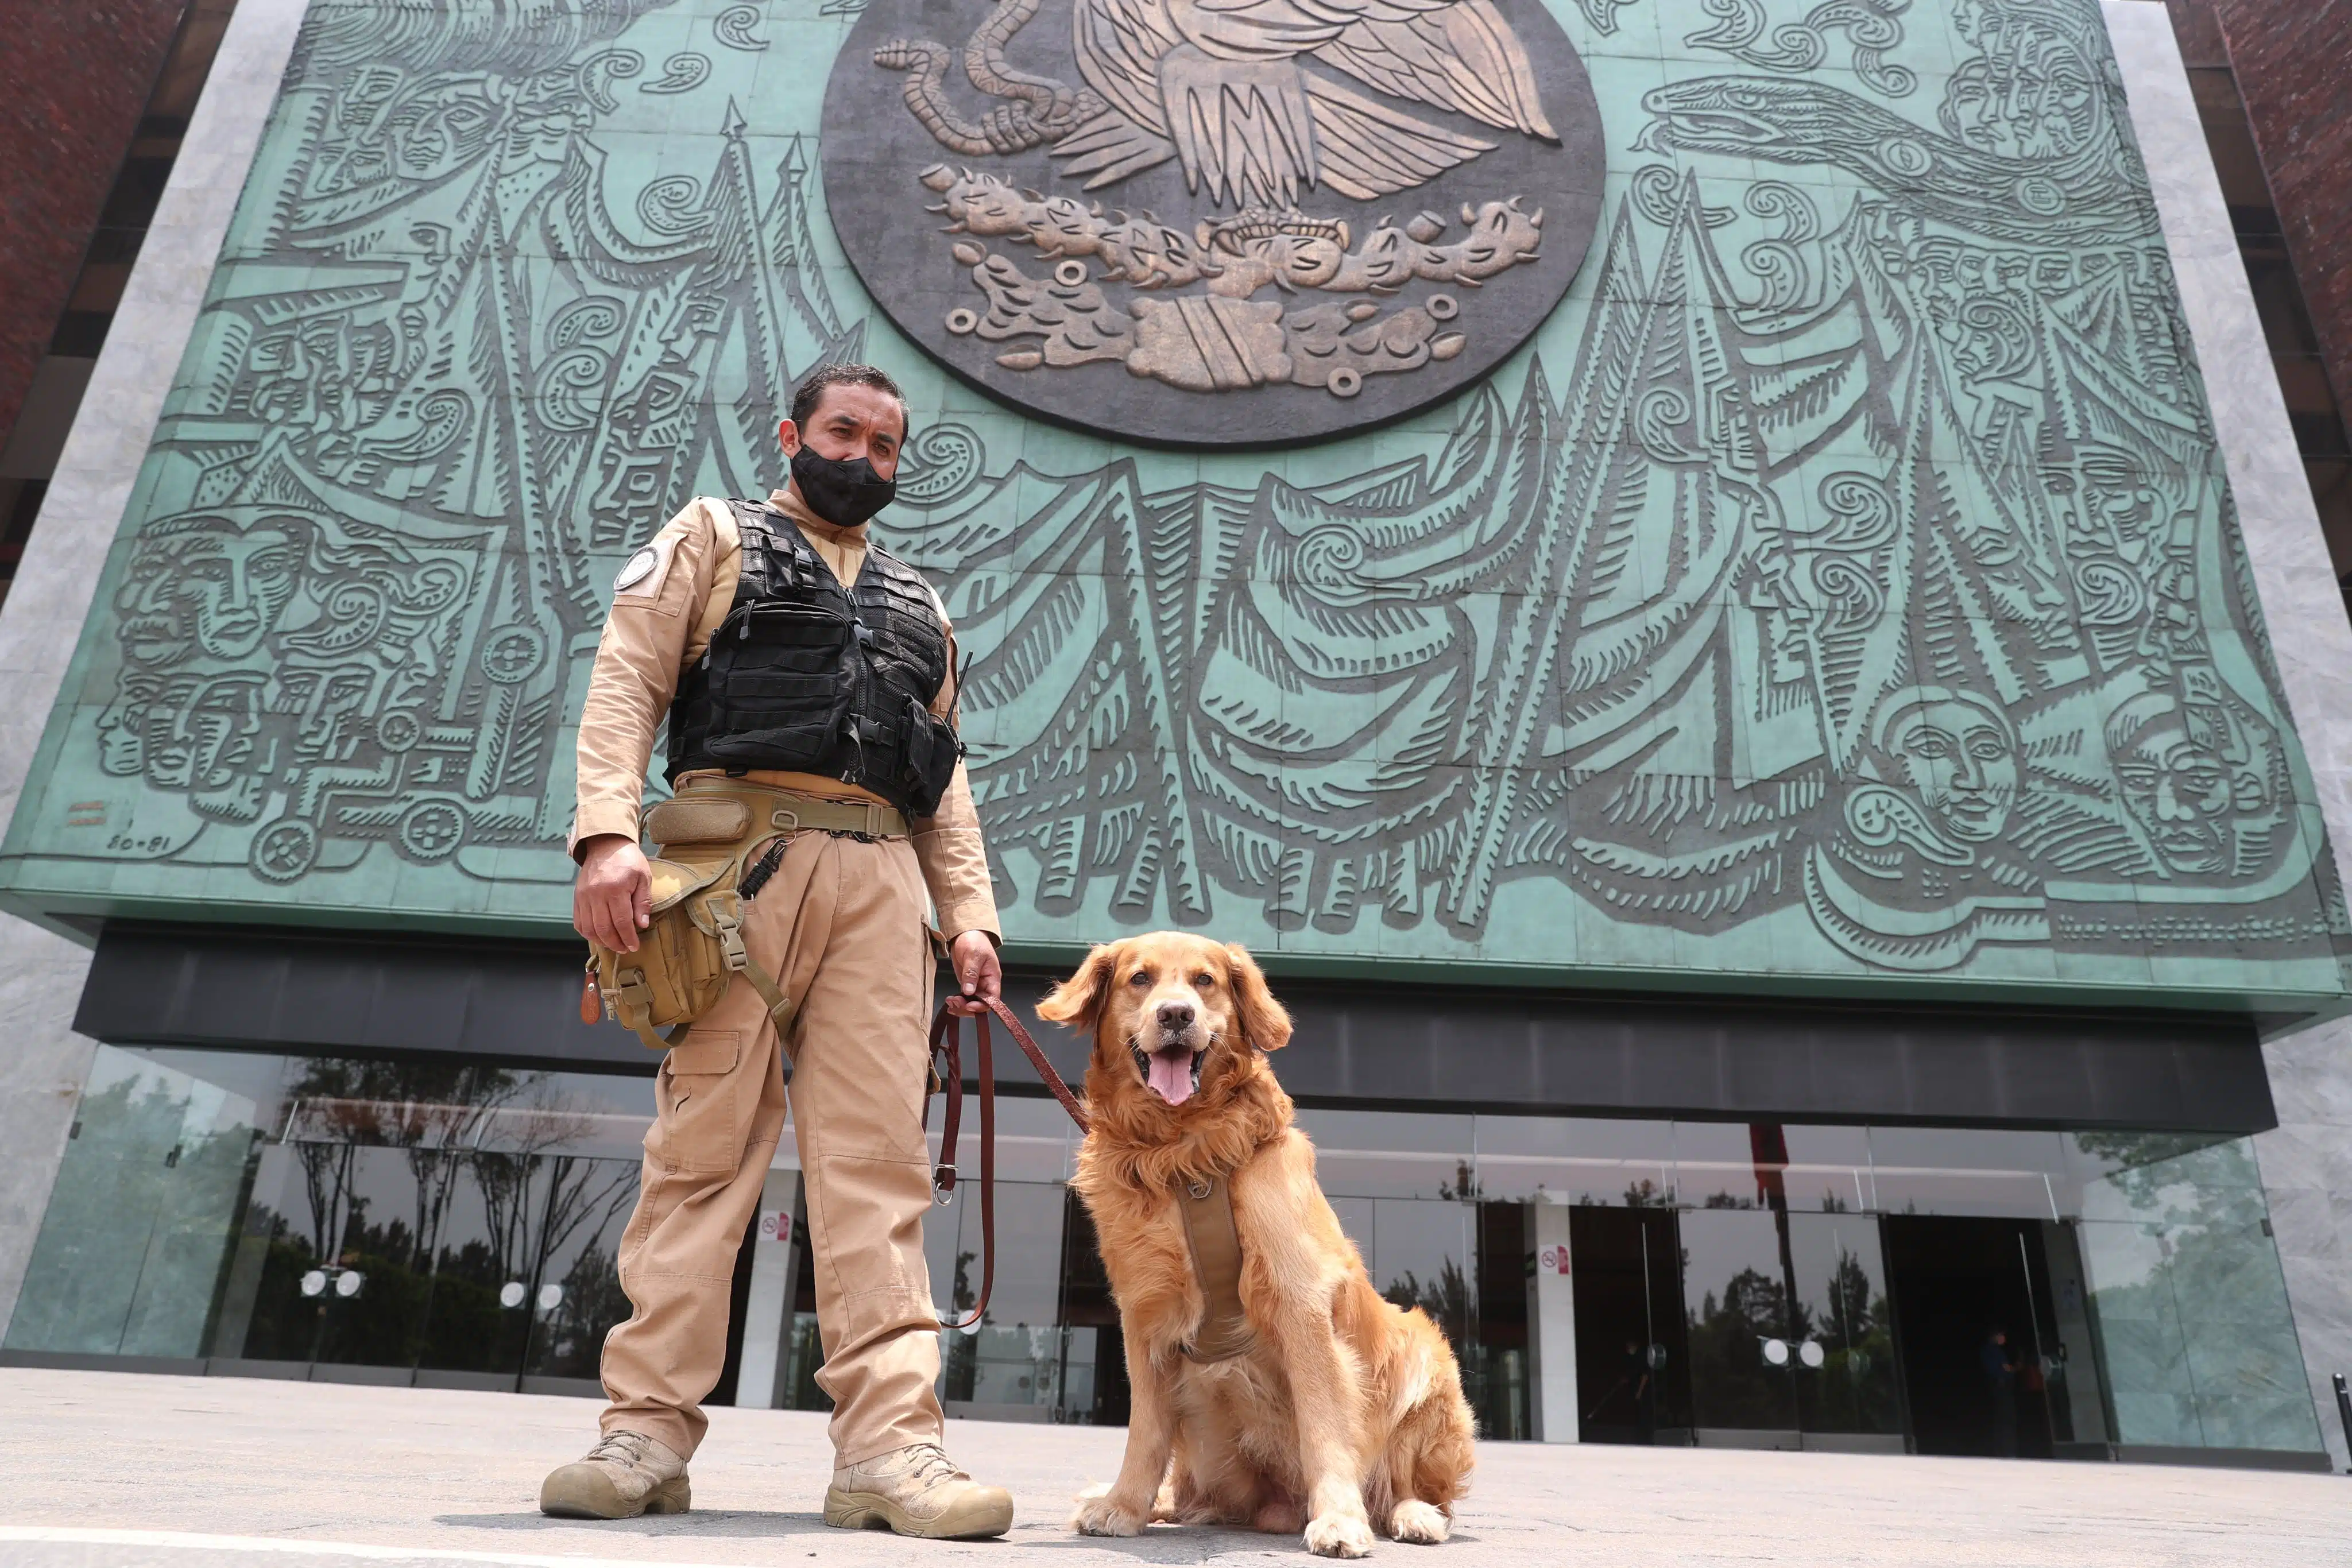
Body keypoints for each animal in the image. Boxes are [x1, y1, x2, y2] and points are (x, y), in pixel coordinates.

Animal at [1044, 931, 1467, 1561]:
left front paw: (1338, 1519)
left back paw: (1412, 1513)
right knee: (1190, 1493)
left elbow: (1323, 1423)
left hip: (1428, 1359)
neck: (1184, 1157)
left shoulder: (1299, 1298)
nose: (1176, 1015)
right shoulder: (1143, 1314)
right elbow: (1145, 1430)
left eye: (1205, 980)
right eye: (1139, 979)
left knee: (1406, 1484)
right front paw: (1124, 1504)